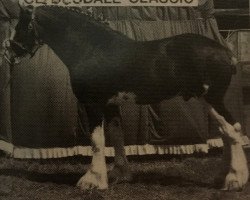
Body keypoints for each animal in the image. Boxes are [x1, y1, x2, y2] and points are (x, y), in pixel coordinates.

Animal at [4, 5, 249, 191]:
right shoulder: (111, 105)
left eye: (21, 26)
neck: (92, 49)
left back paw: (234, 180)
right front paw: (119, 175)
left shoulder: (93, 104)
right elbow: (117, 137)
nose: (9, 53)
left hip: (212, 99)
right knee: (226, 133)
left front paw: (92, 180)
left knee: (232, 130)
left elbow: (97, 140)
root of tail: (225, 53)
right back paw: (223, 177)